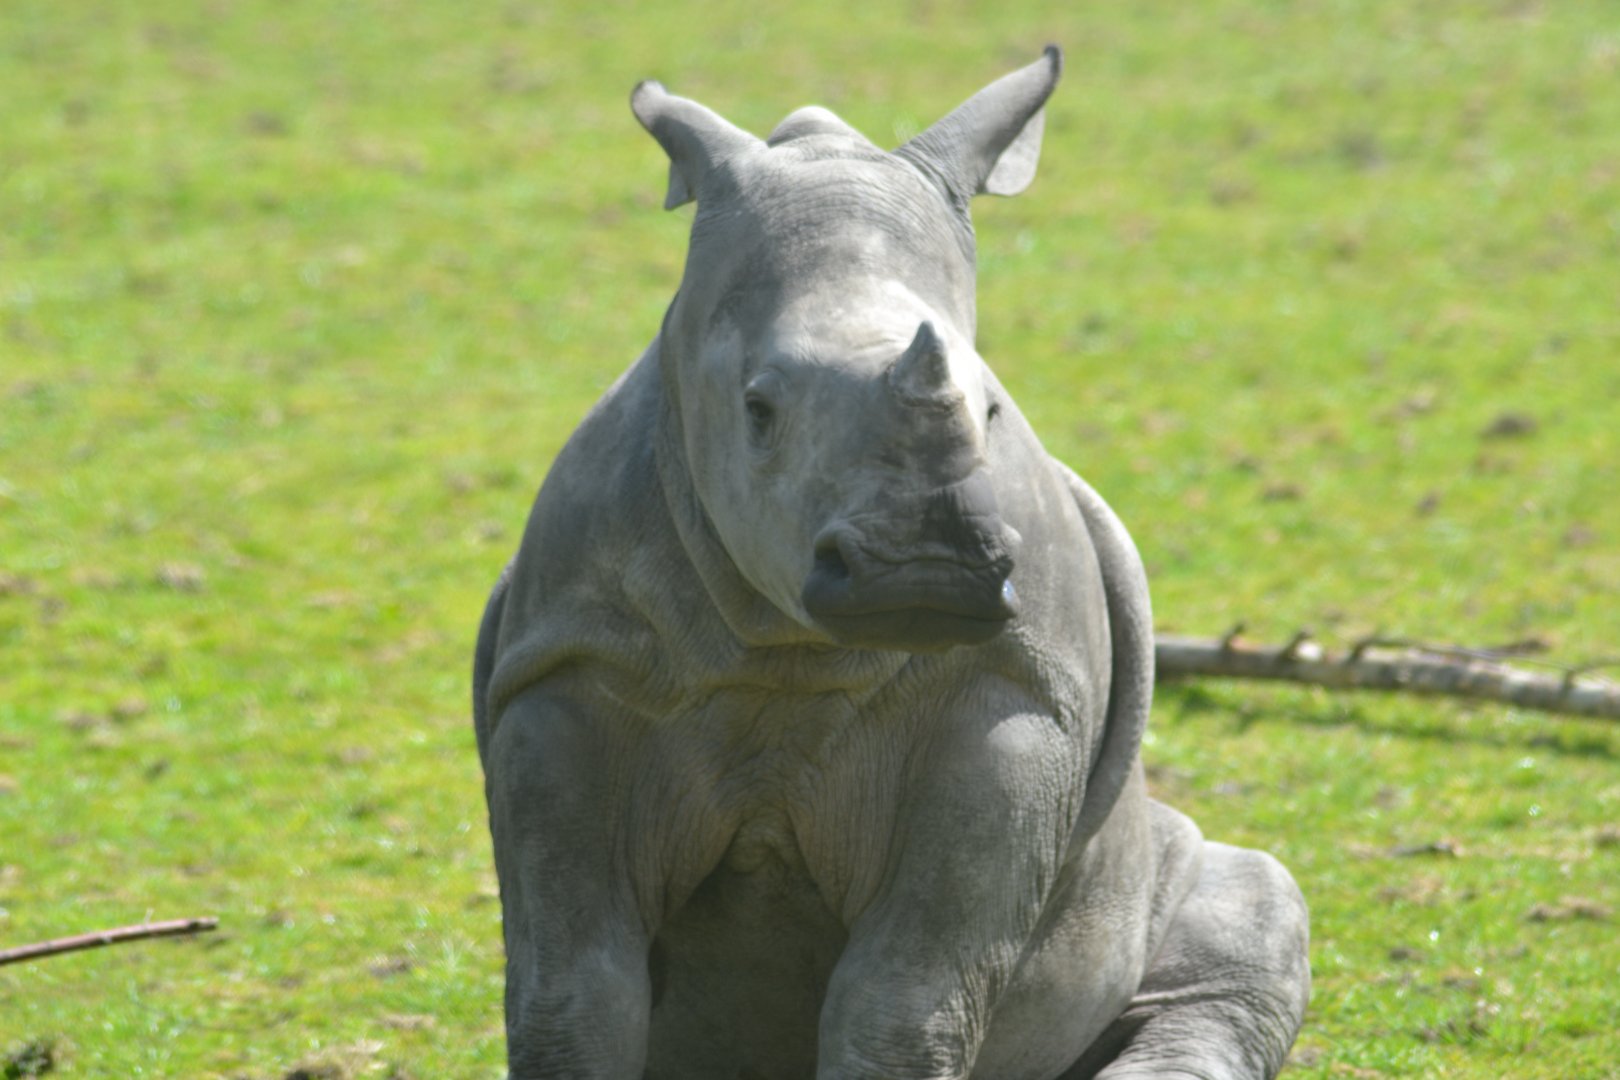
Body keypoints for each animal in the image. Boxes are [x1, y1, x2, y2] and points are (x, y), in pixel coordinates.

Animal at [473, 47, 1310, 1080]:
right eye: (757, 409)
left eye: (989, 408)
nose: (925, 570)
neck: (785, 647)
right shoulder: (571, 673)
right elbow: (571, 988)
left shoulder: (1011, 696)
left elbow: (908, 998)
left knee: (1257, 905)